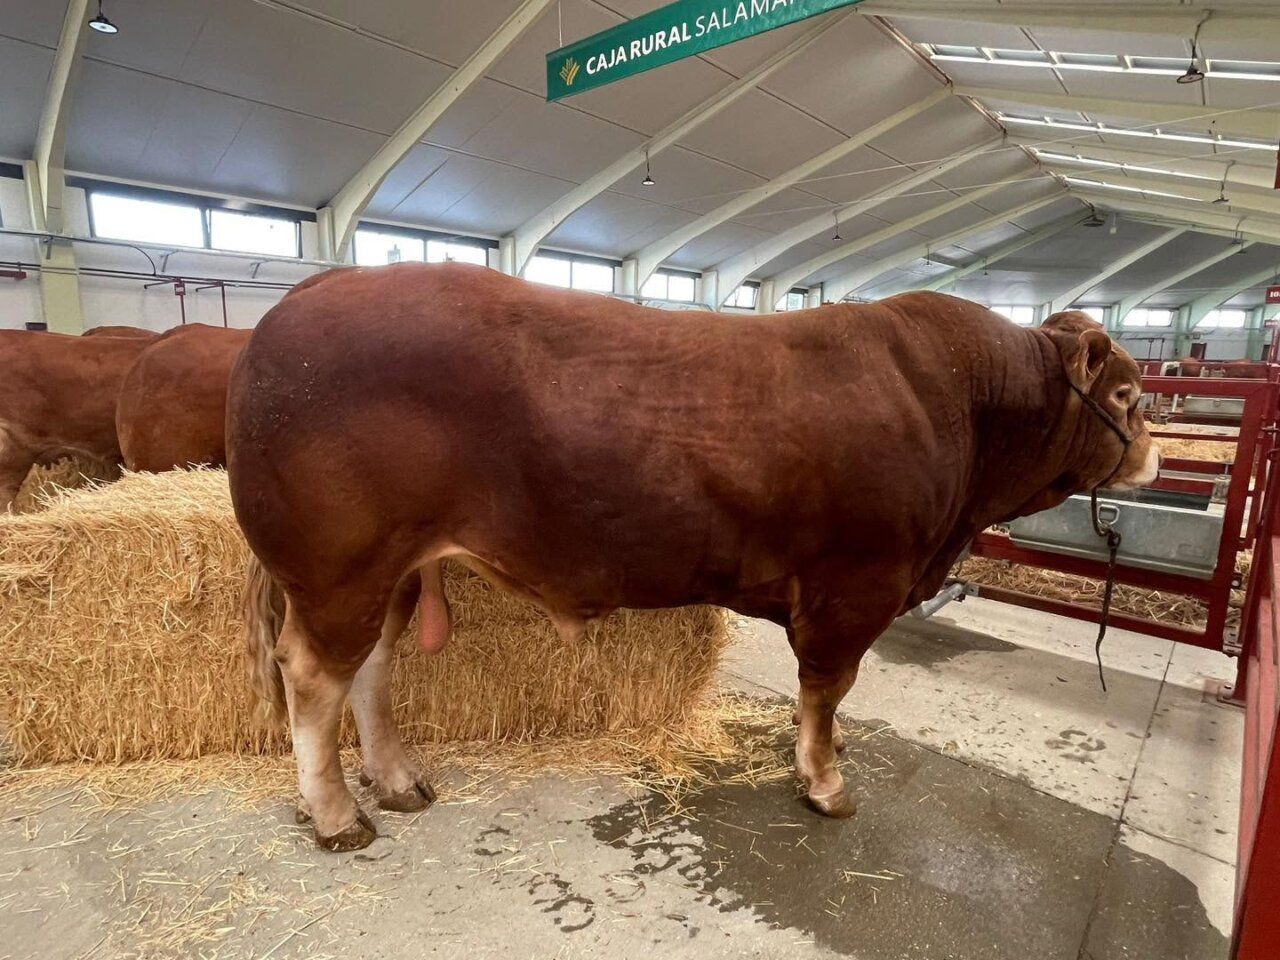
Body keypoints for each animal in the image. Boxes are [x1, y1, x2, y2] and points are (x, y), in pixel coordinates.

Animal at [226, 263, 1160, 851]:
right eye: (1125, 393)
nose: (1154, 454)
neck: (958, 401)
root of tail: (324, 285)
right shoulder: (857, 585)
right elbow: (826, 692)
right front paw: (825, 782)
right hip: (338, 570)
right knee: (314, 681)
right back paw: (338, 816)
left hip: (382, 571)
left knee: (372, 669)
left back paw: (395, 780)